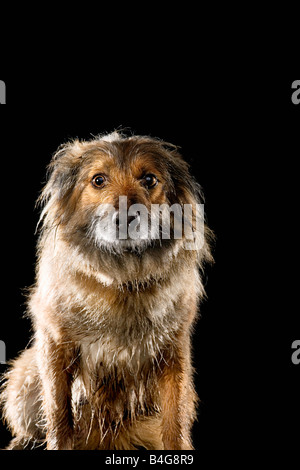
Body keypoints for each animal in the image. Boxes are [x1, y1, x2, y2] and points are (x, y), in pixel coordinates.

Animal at [0, 130, 213, 450]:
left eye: (149, 179)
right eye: (98, 180)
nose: (126, 218)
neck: (121, 276)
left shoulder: (172, 350)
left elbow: (174, 421)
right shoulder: (55, 344)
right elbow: (58, 413)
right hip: (23, 379)